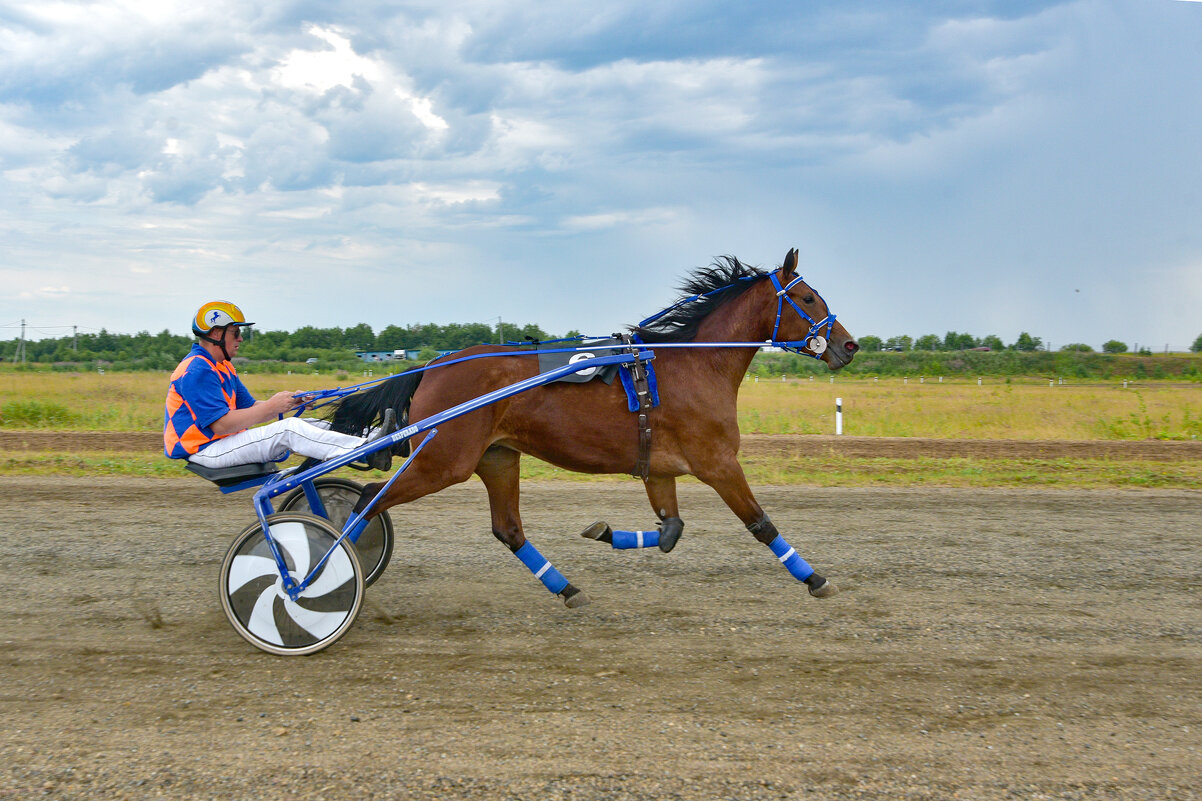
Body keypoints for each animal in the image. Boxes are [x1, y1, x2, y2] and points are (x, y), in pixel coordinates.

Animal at [329, 250, 855, 606]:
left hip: (497, 458)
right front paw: (816, 579)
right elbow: (761, 524)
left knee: (509, 530)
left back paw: (568, 590)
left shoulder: (659, 468)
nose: (848, 346)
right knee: (368, 498)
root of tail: (432, 367)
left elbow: (671, 531)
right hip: (443, 461)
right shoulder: (718, 463)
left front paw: (603, 532)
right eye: (807, 297)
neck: (693, 364)